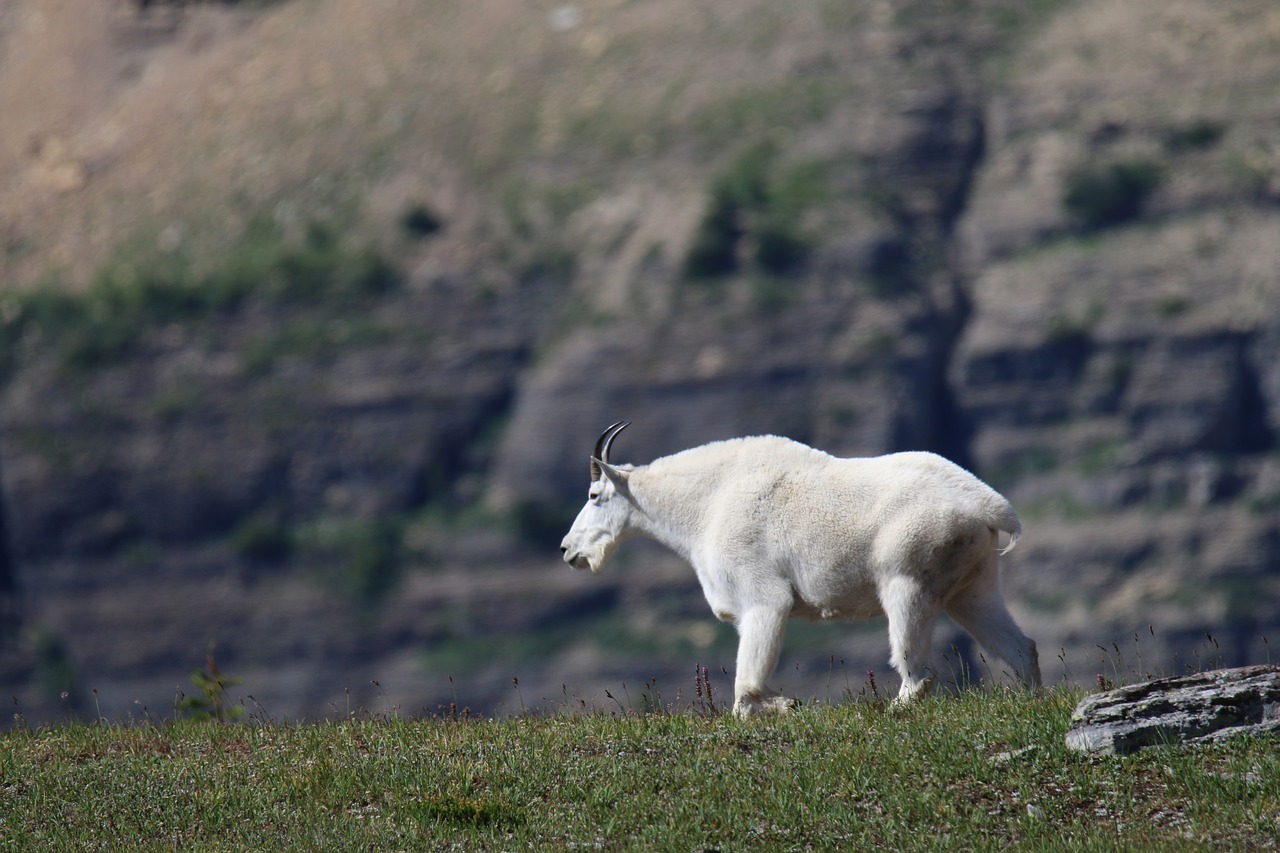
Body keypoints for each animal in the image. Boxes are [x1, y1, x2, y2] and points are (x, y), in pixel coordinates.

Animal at [560, 422, 1039, 712]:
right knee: (1020, 647)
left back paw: (891, 711)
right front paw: (786, 703)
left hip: (908, 579)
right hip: (973, 584)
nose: (569, 551)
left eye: (594, 495)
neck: (704, 505)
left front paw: (786, 705)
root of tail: (990, 507)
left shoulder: (763, 600)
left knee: (918, 670)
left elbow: (744, 692)